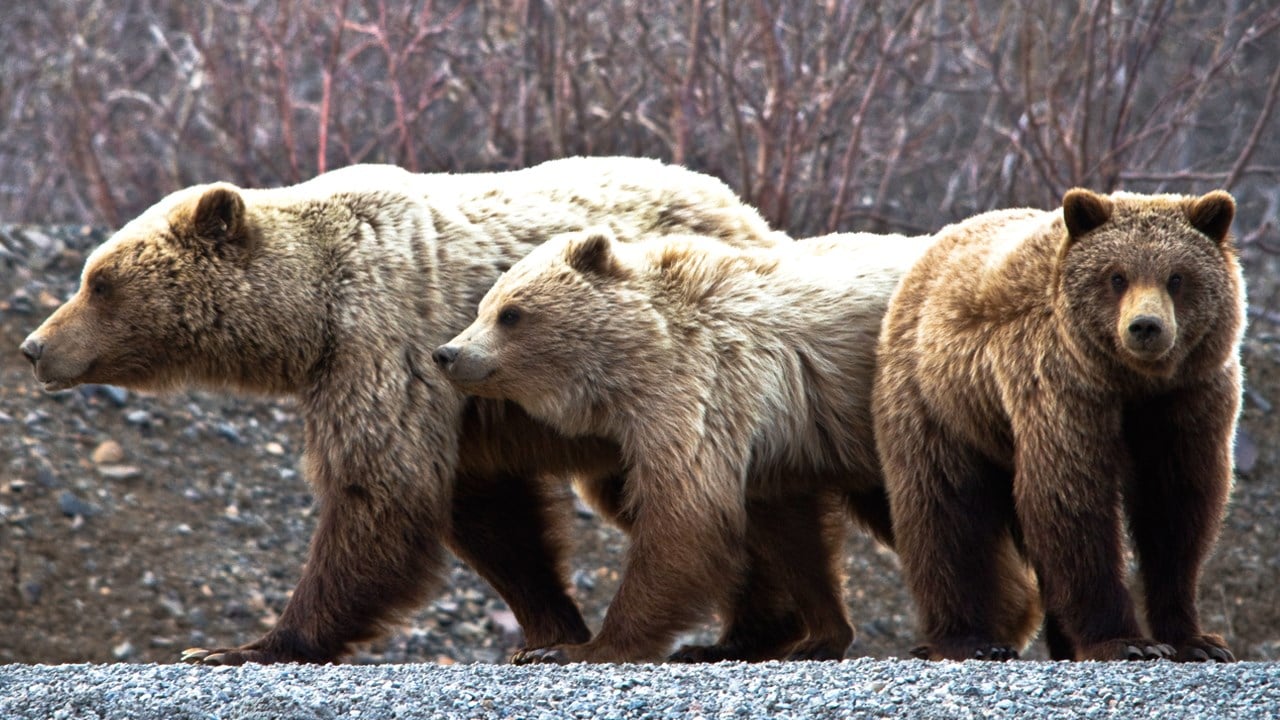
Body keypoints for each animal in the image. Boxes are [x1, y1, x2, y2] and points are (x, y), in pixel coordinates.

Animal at [18, 156, 789, 665]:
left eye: (99, 281)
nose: (33, 346)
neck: (311, 317)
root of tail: (753, 215)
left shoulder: (388, 341)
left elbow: (380, 491)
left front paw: (243, 646)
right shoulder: (461, 410)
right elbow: (490, 518)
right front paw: (552, 626)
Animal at [432, 226, 935, 663]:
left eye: (511, 313)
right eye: (482, 307)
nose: (447, 353)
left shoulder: (705, 389)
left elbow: (683, 516)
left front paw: (577, 648)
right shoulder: (775, 448)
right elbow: (790, 536)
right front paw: (810, 636)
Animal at [872, 188, 1244, 662]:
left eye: (1177, 277)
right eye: (1116, 276)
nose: (1145, 327)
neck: (1131, 381)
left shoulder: (1187, 398)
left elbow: (1177, 506)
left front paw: (1197, 640)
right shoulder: (1061, 387)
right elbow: (1072, 499)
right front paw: (1125, 641)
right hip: (941, 403)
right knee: (944, 513)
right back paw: (970, 639)